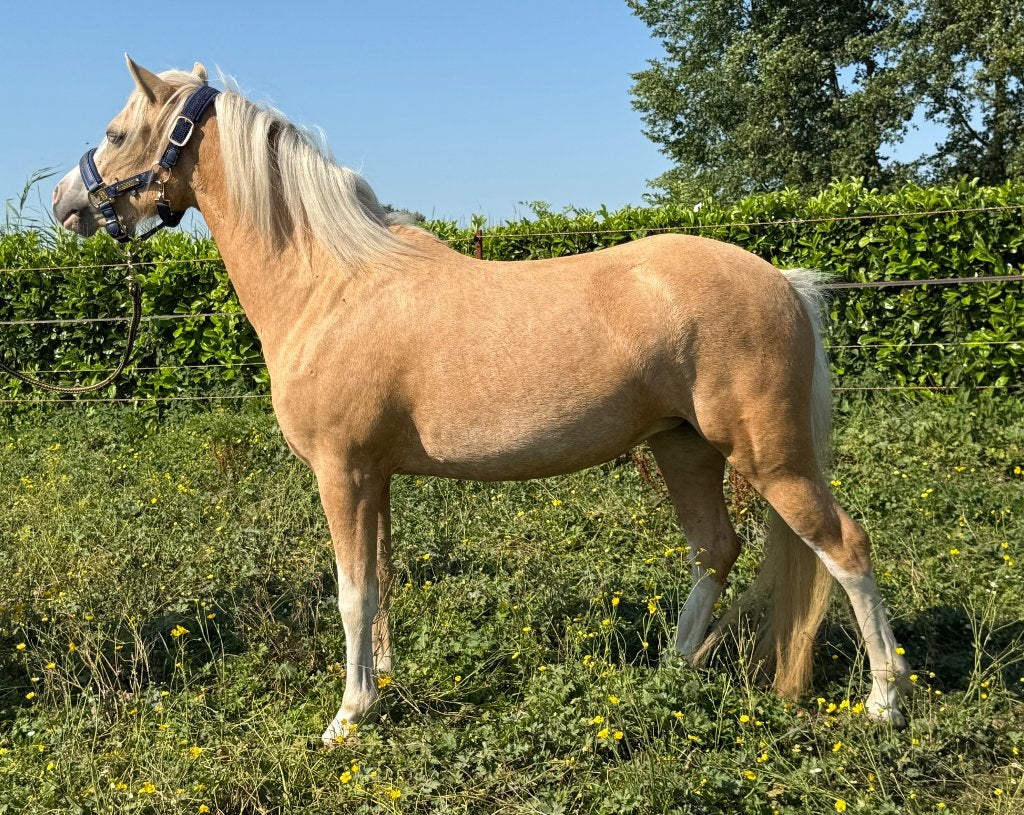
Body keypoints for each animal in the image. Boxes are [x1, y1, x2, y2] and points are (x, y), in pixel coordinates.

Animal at [51, 57, 911, 744]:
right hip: (683, 447)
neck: (331, 284)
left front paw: (346, 718)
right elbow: (380, 582)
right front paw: (381, 688)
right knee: (716, 550)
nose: (65, 202)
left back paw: (883, 703)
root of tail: (785, 283)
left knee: (847, 547)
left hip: (771, 457)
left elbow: (351, 592)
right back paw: (671, 667)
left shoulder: (342, 471)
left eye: (117, 130)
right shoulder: (376, 475)